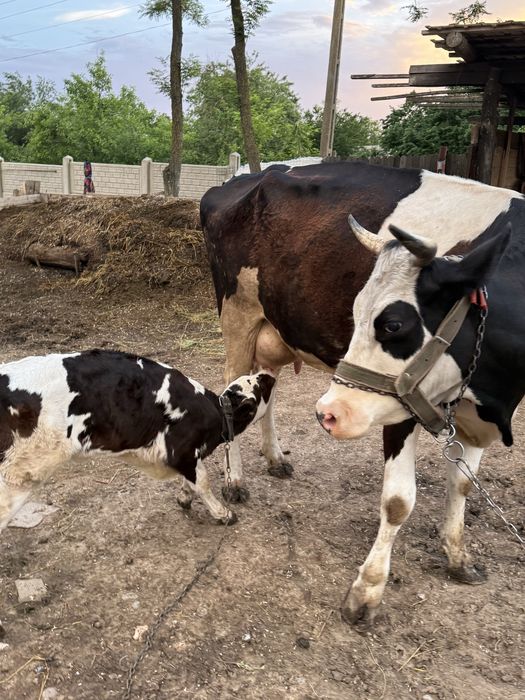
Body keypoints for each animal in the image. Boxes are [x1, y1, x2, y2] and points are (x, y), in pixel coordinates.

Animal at [0, 349, 275, 533]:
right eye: (259, 387)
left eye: (256, 379)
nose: (269, 375)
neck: (216, 412)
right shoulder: (182, 451)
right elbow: (203, 482)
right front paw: (223, 513)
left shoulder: (185, 458)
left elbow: (192, 481)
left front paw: (185, 498)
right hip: (15, 478)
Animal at [201, 161, 518, 506]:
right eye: (394, 325)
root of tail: (248, 176)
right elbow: (400, 497)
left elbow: (462, 484)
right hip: (237, 317)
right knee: (231, 387)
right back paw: (235, 480)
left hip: (277, 325)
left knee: (266, 383)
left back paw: (275, 457)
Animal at [317, 203, 524, 622]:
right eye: (354, 312)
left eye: (393, 324)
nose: (328, 413)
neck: (497, 398)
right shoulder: (404, 412)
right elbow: (398, 501)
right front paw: (367, 590)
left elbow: (462, 483)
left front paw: (458, 557)